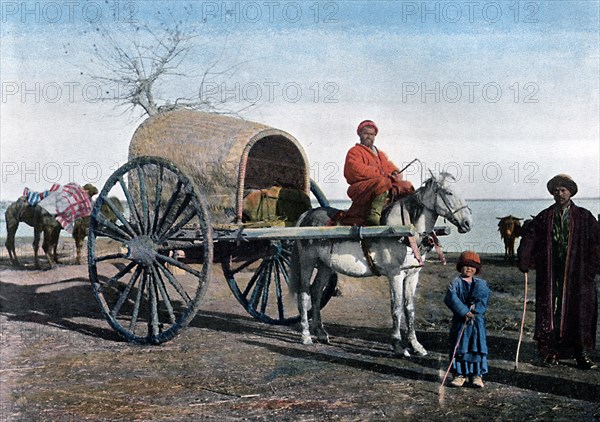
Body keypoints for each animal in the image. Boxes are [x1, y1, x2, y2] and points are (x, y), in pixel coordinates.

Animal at [288, 171, 472, 356]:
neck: (405, 231)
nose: (467, 223)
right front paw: (398, 345)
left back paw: (320, 332)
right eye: (449, 192)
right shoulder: (395, 274)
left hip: (325, 266)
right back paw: (306, 335)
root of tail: (307, 214)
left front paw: (415, 345)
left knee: (316, 292)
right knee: (304, 293)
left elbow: (410, 308)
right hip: (307, 262)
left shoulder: (413, 274)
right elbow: (396, 308)